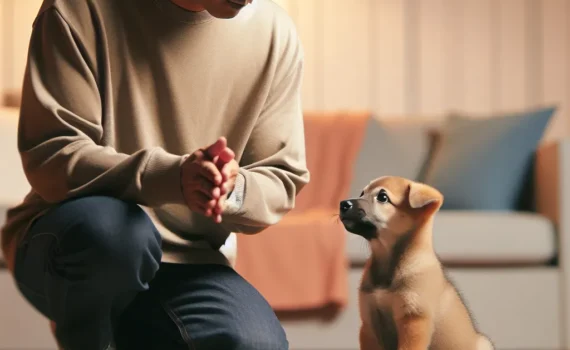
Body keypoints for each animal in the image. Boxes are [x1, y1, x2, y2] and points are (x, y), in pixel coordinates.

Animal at [338, 176, 492, 350]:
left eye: (382, 197)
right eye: (362, 193)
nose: (343, 204)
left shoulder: (413, 321)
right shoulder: (369, 324)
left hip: (484, 343)